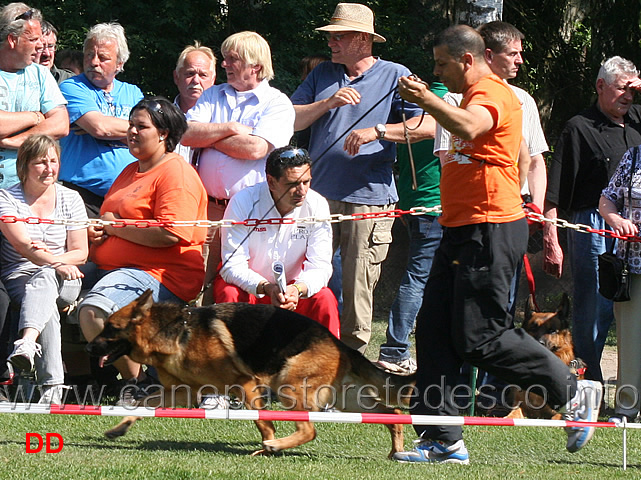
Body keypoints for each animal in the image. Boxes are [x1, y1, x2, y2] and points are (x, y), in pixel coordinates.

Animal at [85, 288, 416, 458]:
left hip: (289, 387)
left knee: (310, 429)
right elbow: (143, 406)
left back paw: (277, 445)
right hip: (348, 400)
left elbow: (261, 421)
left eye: (110, 329)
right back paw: (396, 452)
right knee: (395, 414)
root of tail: (338, 342)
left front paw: (268, 443)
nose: (88, 347)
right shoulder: (180, 392)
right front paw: (120, 427)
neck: (174, 334)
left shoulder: (244, 385)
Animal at [504, 290, 584, 418]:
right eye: (533, 328)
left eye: (552, 331)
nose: (538, 344)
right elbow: (513, 414)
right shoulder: (522, 405)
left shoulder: (558, 413)